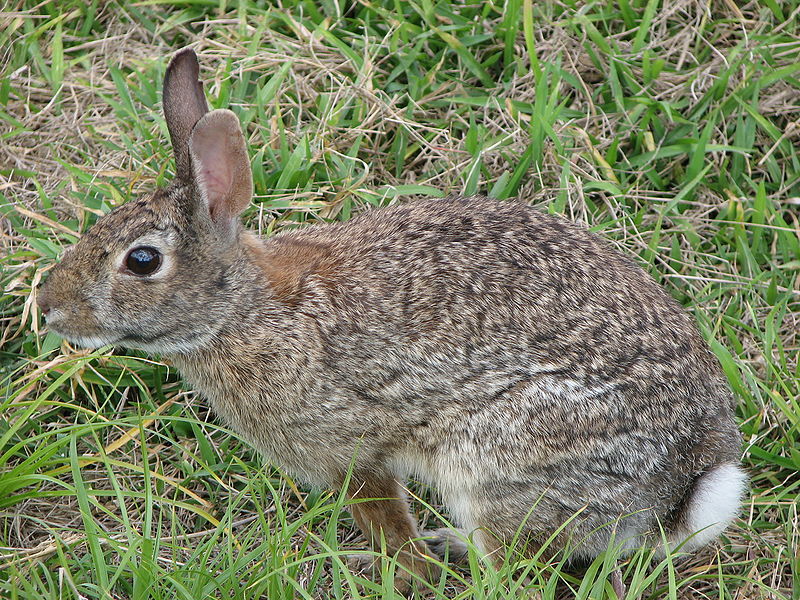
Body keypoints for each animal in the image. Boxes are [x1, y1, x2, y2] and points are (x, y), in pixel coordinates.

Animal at [37, 48, 747, 591]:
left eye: (142, 260)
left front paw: (402, 572)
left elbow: (383, 518)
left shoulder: (352, 448)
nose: (48, 308)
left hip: (502, 460)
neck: (246, 310)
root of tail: (680, 492)